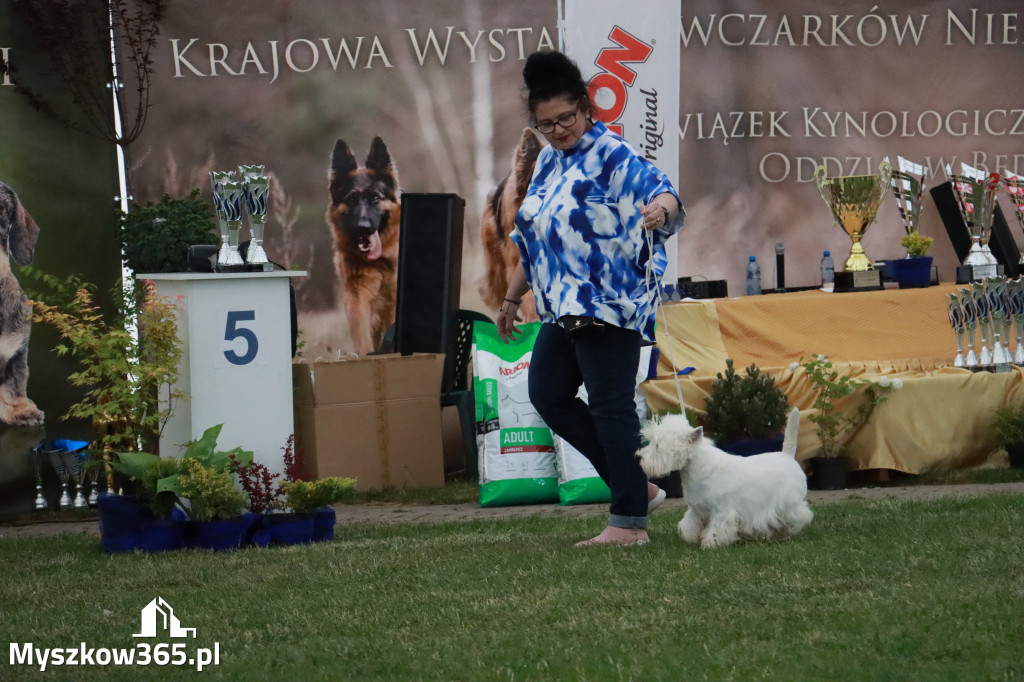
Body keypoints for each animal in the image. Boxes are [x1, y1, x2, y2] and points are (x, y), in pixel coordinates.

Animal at [634, 403, 811, 548]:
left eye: (657, 446)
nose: (639, 457)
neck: (697, 469)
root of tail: (787, 456)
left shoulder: (722, 511)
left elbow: (716, 528)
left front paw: (711, 543)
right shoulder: (696, 509)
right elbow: (689, 524)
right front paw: (690, 537)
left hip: (788, 503)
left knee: (800, 515)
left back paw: (786, 532)